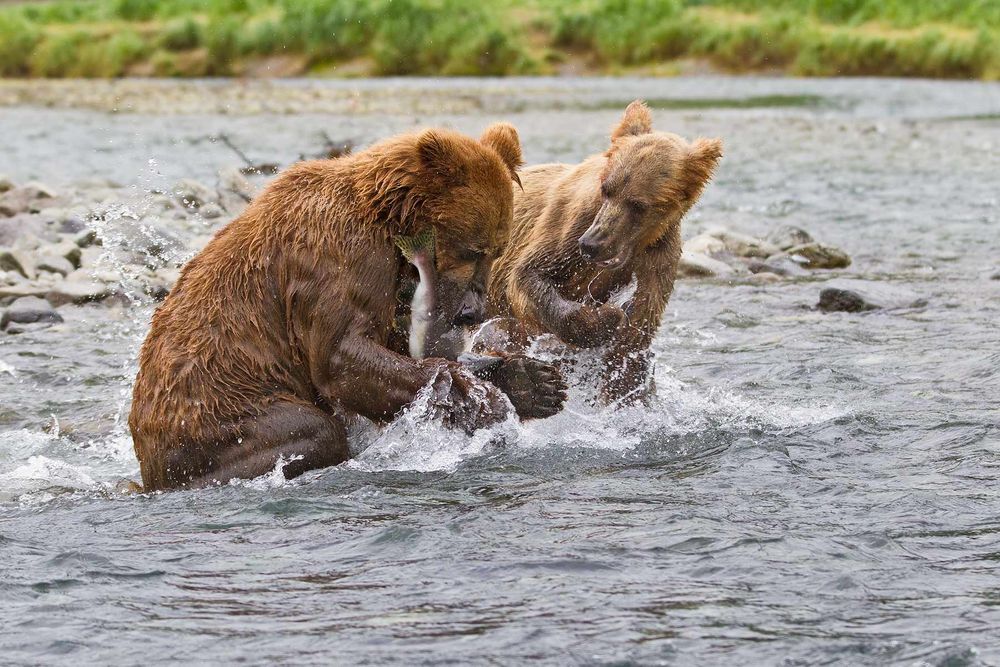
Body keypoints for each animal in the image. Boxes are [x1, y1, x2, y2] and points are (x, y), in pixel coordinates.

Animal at [129, 123, 566, 492]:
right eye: (472, 249)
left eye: (497, 250)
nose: (472, 311)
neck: (391, 221)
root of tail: (146, 455)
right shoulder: (340, 255)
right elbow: (342, 354)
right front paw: (477, 397)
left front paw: (533, 381)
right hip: (220, 412)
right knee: (310, 430)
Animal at [487, 101, 723, 404]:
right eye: (607, 189)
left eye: (639, 204)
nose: (592, 243)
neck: (635, 245)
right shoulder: (569, 225)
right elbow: (528, 276)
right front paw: (607, 319)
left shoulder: (658, 256)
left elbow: (638, 329)